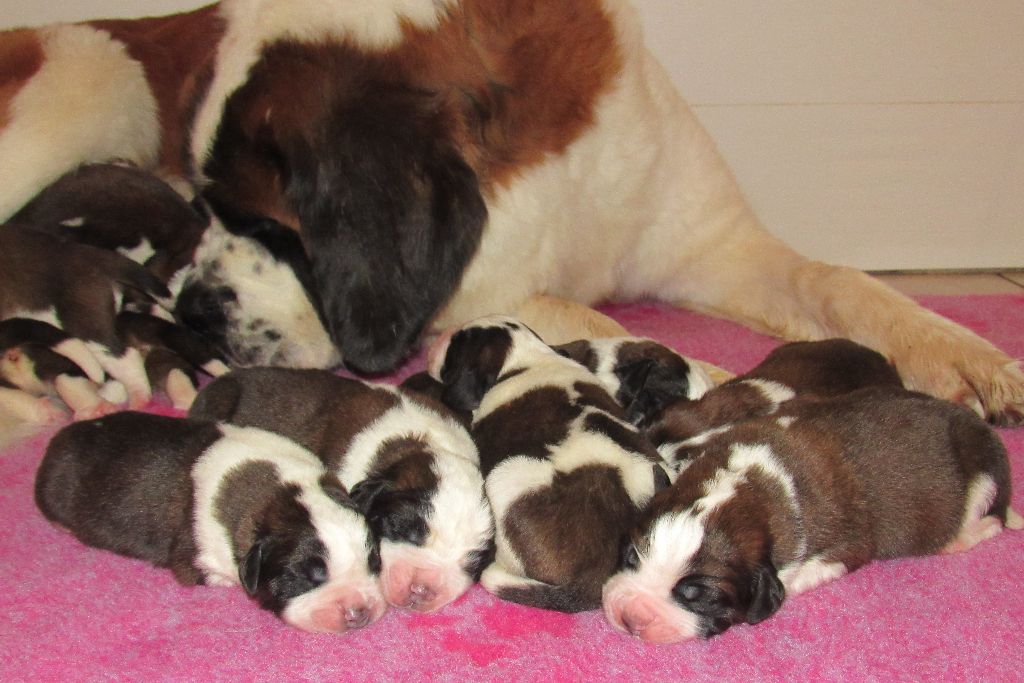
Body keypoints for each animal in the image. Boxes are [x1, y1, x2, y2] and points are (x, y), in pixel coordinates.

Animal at [0, 1, 1019, 421]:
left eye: (269, 227)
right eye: (213, 207)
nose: (196, 308)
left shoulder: (711, 243)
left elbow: (837, 277)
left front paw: (963, 353)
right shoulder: (482, 294)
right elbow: (594, 320)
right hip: (74, 94)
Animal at [36, 409, 385, 634]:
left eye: (374, 562)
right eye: (303, 577)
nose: (359, 612)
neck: (279, 492)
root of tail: (58, 440)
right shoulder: (197, 559)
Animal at [602, 389, 1019, 647]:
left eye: (696, 595)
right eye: (631, 556)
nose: (630, 617)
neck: (750, 482)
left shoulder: (849, 546)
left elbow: (807, 571)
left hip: (983, 475)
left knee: (991, 518)